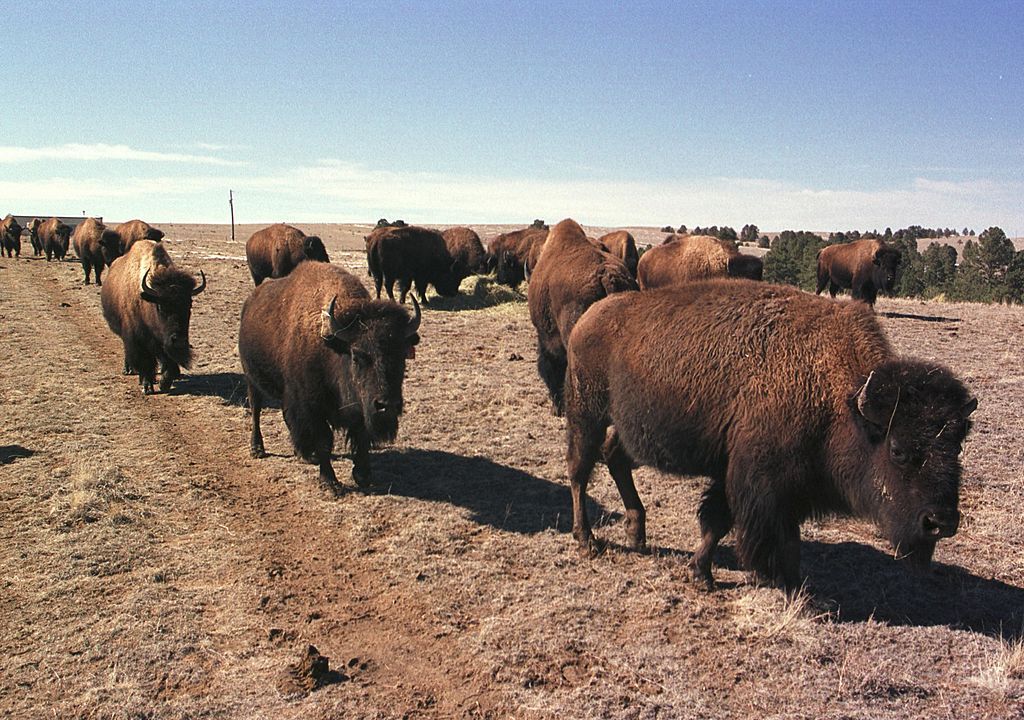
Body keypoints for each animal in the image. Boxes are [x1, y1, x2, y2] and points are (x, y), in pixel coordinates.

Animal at [100, 239, 206, 393]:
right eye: (160, 306)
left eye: (189, 304)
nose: (179, 340)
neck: (147, 301)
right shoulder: (138, 340)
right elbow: (145, 362)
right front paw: (147, 387)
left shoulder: (163, 342)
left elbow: (169, 363)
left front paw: (163, 383)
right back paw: (129, 371)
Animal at [236, 260, 419, 495]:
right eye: (357, 354)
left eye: (402, 354)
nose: (387, 406)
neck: (334, 346)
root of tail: (250, 302)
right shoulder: (313, 406)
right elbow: (324, 440)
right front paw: (330, 482)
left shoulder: (359, 407)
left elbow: (361, 436)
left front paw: (363, 475)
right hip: (252, 380)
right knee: (256, 410)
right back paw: (257, 449)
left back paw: (303, 454)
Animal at [569, 280, 974, 589]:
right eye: (898, 450)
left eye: (956, 447)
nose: (941, 522)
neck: (840, 397)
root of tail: (590, 315)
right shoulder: (756, 478)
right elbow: (724, 521)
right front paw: (707, 575)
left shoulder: (780, 484)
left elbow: (759, 528)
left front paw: (788, 578)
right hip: (586, 413)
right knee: (579, 469)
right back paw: (587, 541)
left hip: (625, 425)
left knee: (614, 458)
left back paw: (636, 534)